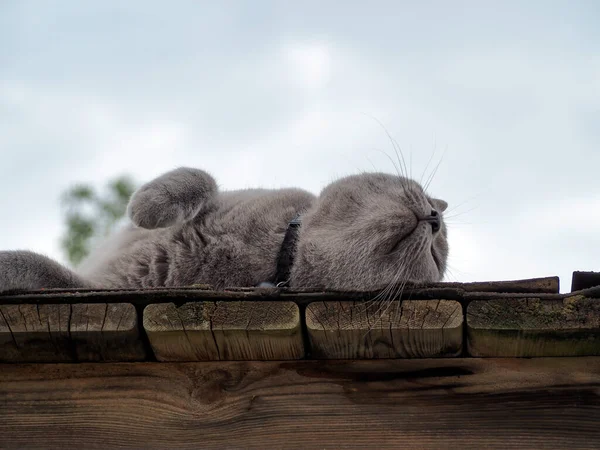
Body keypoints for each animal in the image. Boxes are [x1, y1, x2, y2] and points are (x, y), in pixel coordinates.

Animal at [0, 167, 448, 294]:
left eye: (435, 256)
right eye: (421, 194)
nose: (435, 218)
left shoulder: (98, 287)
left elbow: (35, 266)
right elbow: (200, 177)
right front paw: (147, 207)